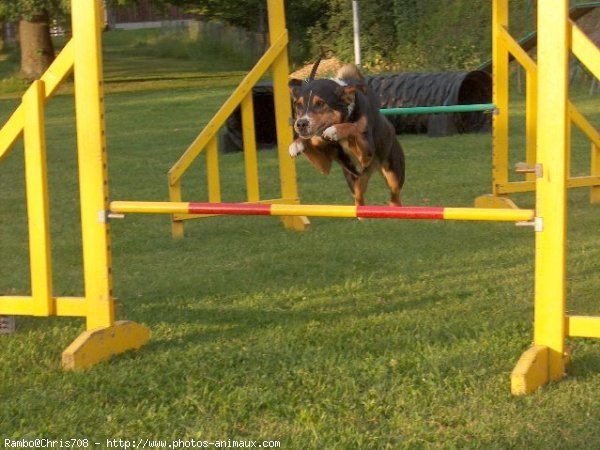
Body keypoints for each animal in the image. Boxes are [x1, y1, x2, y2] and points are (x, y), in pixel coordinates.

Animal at [288, 63, 406, 207]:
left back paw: (395, 207)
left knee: (395, 193)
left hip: (393, 172)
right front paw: (296, 144)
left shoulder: (366, 153)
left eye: (320, 104)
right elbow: (311, 143)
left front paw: (334, 131)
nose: (300, 124)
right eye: (298, 105)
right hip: (354, 181)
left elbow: (353, 127)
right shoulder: (324, 164)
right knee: (359, 197)